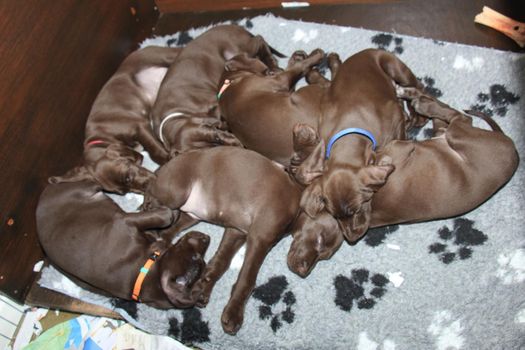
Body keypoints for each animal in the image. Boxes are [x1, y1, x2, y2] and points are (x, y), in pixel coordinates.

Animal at [34, 180, 212, 308]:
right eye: (196, 257)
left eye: (203, 262)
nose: (207, 237)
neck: (143, 273)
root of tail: (43, 196)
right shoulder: (125, 222)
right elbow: (165, 217)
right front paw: (169, 212)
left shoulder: (126, 222)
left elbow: (164, 218)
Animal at [49, 45, 180, 194]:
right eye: (124, 192)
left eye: (127, 177)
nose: (148, 189)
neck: (103, 135)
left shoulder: (138, 126)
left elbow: (154, 150)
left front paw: (167, 160)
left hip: (160, 55)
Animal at [151, 24, 282, 156]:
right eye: (210, 150)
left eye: (216, 136)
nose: (238, 144)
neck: (176, 111)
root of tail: (234, 26)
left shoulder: (213, 103)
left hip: (239, 48)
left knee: (259, 39)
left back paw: (272, 63)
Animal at [284, 89, 516, 276]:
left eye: (322, 246)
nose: (302, 271)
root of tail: (512, 148)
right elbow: (305, 172)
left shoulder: (397, 148)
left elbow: (308, 172)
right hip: (451, 135)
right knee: (451, 119)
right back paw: (417, 98)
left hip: (460, 137)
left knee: (461, 117)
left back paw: (421, 102)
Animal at [292, 47, 424, 241]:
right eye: (335, 215)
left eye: (357, 209)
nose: (352, 238)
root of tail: (364, 52)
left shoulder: (395, 121)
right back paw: (331, 62)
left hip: (395, 67)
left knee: (418, 88)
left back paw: (415, 114)